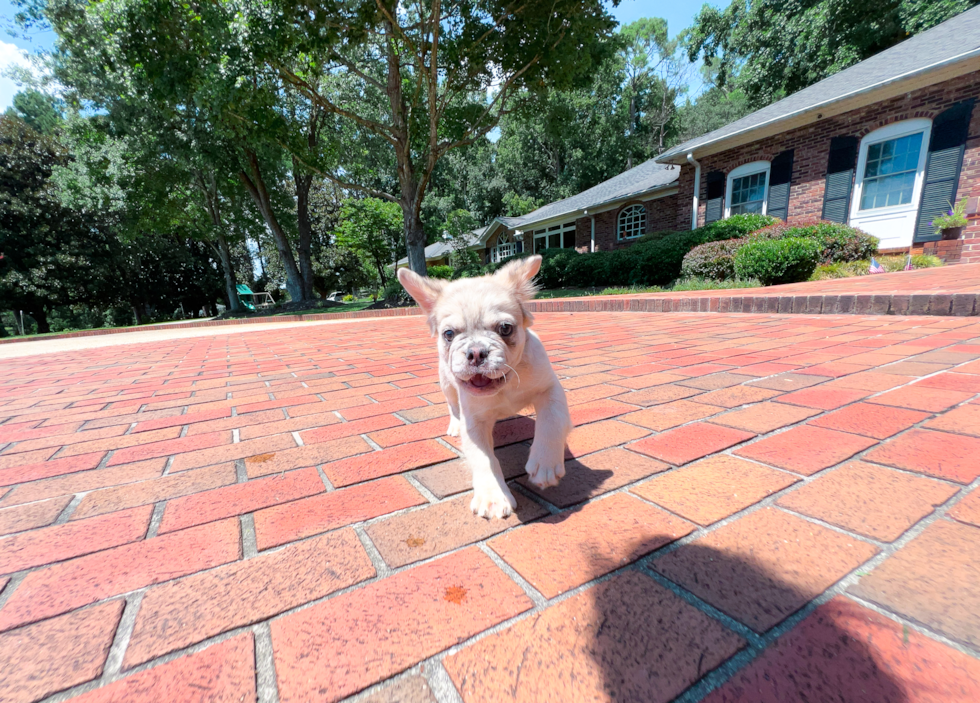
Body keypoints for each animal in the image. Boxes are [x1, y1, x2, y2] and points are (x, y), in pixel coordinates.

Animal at [394, 256, 572, 520]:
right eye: (448, 334)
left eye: (505, 328)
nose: (476, 352)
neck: (504, 385)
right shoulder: (474, 422)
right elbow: (484, 459)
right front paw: (493, 497)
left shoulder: (550, 390)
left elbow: (552, 422)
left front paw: (545, 464)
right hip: (446, 384)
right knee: (452, 406)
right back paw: (454, 425)